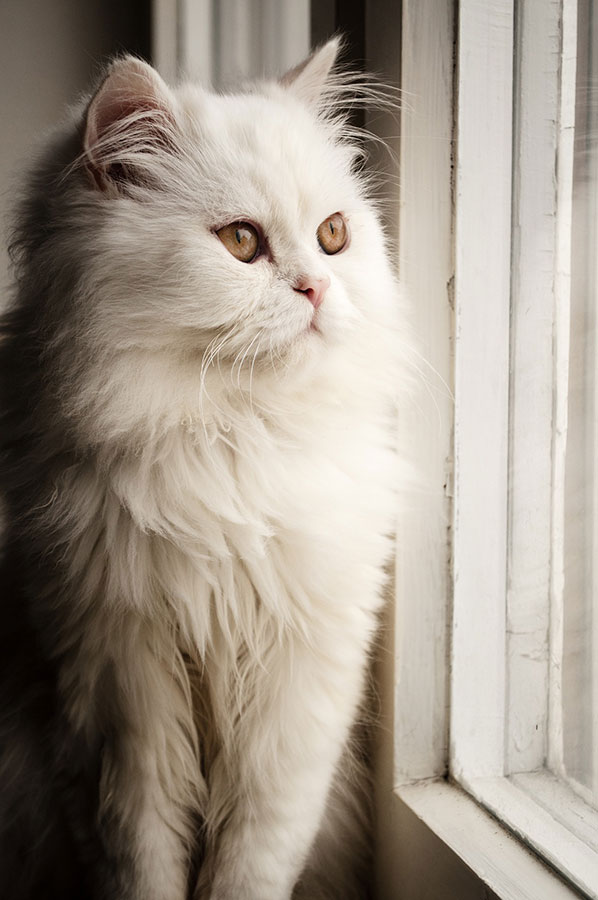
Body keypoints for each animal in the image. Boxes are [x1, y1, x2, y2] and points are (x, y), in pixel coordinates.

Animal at [0, 40, 404, 900]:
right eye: (242, 242)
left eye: (332, 234)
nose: (318, 288)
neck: (232, 449)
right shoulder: (117, 698)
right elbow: (140, 857)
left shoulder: (303, 689)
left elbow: (257, 856)